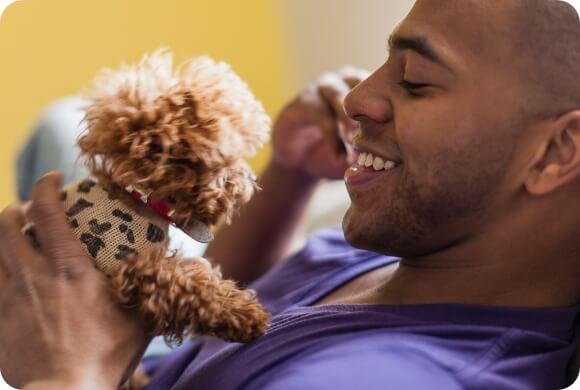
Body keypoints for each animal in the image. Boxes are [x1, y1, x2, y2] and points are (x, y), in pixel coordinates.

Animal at [57, 50, 270, 346]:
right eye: (228, 157)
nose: (253, 179)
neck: (140, 197)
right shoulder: (131, 270)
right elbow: (183, 284)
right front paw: (240, 312)